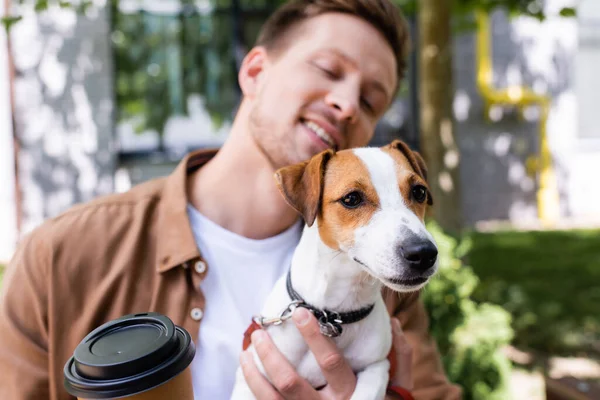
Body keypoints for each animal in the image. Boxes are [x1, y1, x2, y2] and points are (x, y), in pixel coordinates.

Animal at [232, 140, 438, 400]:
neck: (334, 312)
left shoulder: (378, 364)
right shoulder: (249, 377)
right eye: (351, 198)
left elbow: (369, 389)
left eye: (419, 192)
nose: (423, 253)